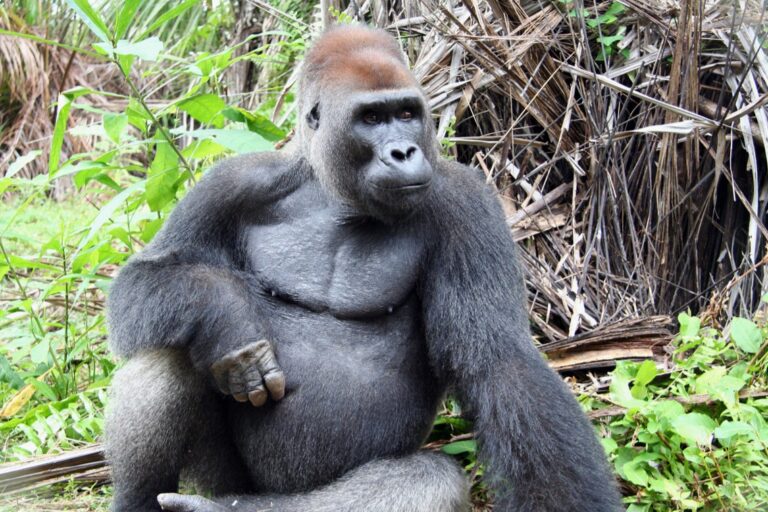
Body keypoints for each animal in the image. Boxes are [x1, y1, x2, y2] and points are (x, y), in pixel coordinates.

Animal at [105, 25, 623, 512]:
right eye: (371, 118)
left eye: (408, 114)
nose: (403, 152)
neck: (334, 193)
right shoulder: (231, 183)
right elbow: (145, 277)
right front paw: (229, 316)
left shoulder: (467, 202)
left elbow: (499, 360)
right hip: (224, 476)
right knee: (168, 346)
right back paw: (142, 497)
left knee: (428, 480)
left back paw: (222, 509)